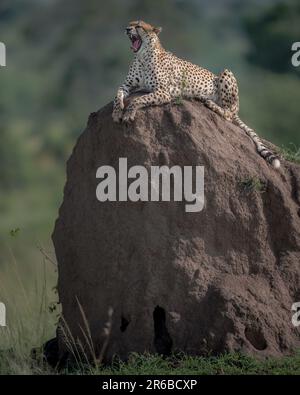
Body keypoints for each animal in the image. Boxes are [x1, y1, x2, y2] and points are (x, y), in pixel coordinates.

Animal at [112, 20, 278, 169]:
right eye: (130, 23)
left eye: (139, 26)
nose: (127, 29)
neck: (142, 56)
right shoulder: (127, 85)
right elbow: (117, 94)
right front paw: (117, 112)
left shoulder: (163, 92)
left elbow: (140, 99)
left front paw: (129, 113)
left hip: (226, 73)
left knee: (228, 114)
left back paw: (211, 104)